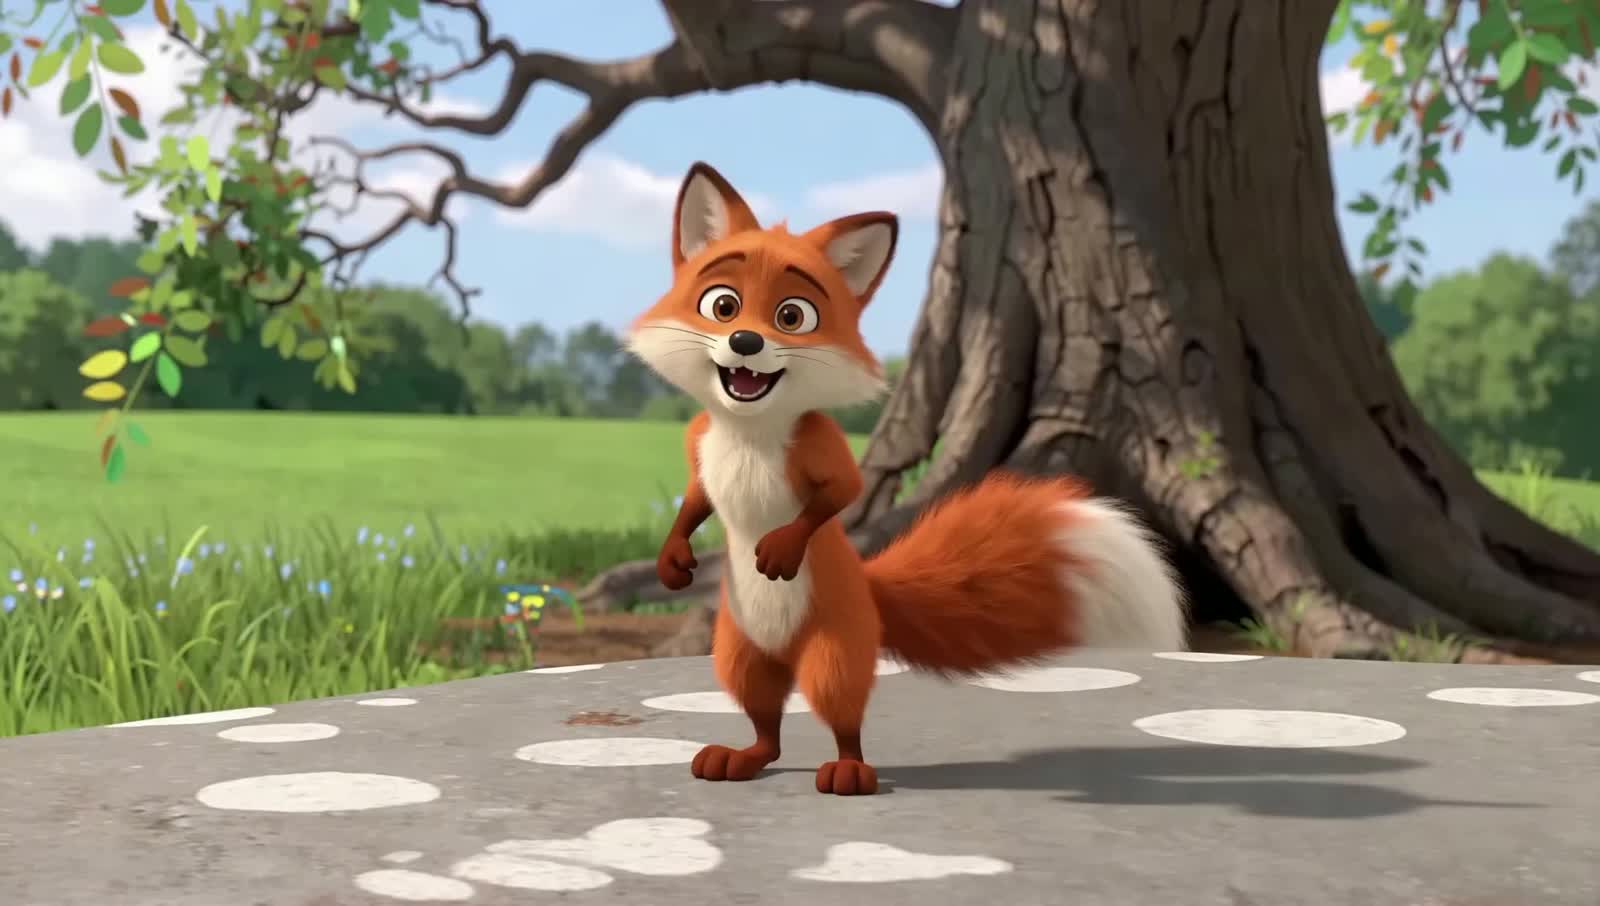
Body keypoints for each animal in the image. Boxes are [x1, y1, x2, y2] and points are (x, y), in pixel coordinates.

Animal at [625, 161, 1188, 796]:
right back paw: (740, 758)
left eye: (792, 315)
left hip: (833, 653)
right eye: (722, 306)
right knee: (767, 725)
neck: (749, 433)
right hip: (740, 653)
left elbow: (838, 495)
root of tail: (869, 590)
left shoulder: (820, 446)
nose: (746, 342)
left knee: (842, 716)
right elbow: (696, 500)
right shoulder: (699, 442)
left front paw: (781, 546)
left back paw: (849, 771)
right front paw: (673, 558)